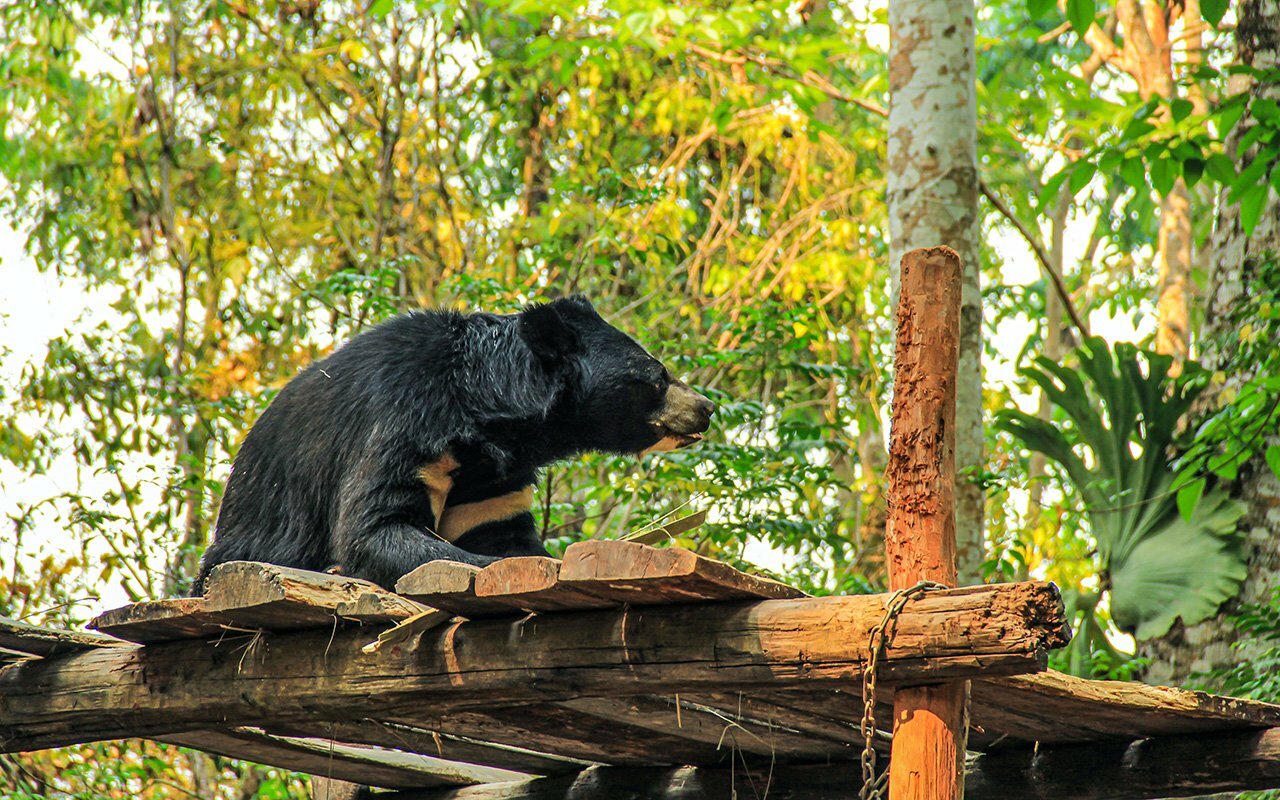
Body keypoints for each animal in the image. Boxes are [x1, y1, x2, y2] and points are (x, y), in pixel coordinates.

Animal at [199, 296, 721, 588]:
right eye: (657, 376)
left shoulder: (494, 480)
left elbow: (499, 529)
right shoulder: (405, 424)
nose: (707, 407)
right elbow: (376, 526)